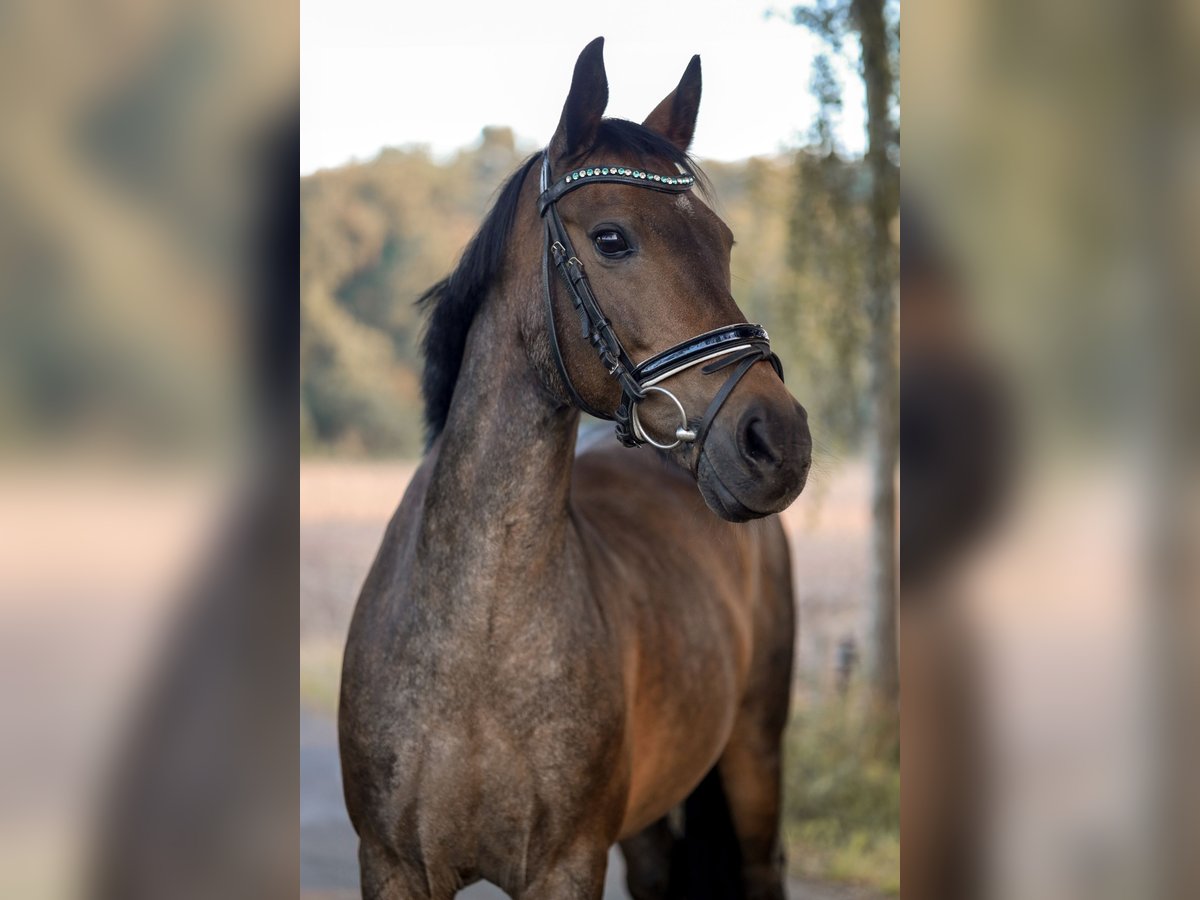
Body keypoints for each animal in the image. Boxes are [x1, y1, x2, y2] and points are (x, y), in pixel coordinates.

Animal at [340, 38, 816, 900]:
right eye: (612, 238)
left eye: (724, 243)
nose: (778, 441)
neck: (480, 640)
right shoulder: (390, 866)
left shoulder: (567, 864)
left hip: (755, 758)